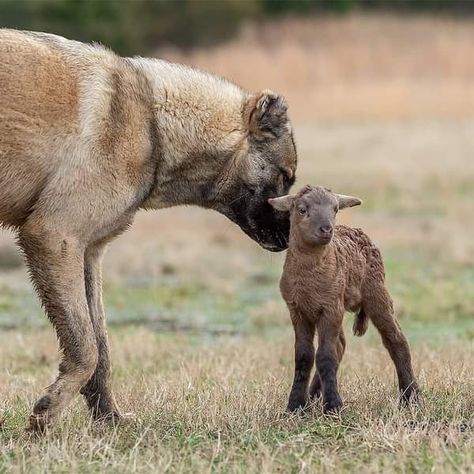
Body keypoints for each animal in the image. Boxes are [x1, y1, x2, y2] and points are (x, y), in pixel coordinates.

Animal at [0, 27, 296, 432]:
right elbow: (86, 348)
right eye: (287, 177)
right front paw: (46, 416)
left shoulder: (88, 253)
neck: (152, 125)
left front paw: (108, 419)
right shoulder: (54, 236)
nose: (293, 241)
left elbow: (101, 348)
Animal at [268, 185, 420, 414]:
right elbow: (304, 356)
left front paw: (333, 406)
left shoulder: (331, 307)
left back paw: (411, 397)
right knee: (340, 345)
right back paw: (314, 396)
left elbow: (325, 356)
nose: (326, 230)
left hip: (376, 291)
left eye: (335, 209)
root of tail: (357, 230)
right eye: (302, 209)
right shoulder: (298, 309)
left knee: (395, 339)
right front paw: (296, 406)